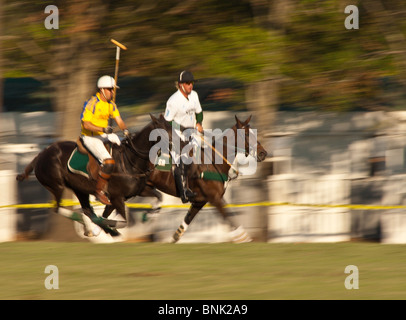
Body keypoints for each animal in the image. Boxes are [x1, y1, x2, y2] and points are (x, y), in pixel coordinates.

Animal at [16, 114, 170, 236]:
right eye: (164, 132)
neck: (130, 161)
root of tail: (41, 154)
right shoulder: (116, 198)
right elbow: (124, 222)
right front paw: (108, 225)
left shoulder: (137, 191)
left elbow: (159, 196)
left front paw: (149, 215)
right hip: (56, 185)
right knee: (58, 208)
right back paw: (90, 224)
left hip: (79, 189)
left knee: (86, 210)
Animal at [102, 115, 266, 242]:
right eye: (246, 134)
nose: (263, 153)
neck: (214, 163)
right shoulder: (215, 199)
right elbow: (229, 218)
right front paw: (245, 239)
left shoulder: (199, 202)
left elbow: (182, 227)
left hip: (131, 191)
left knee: (108, 209)